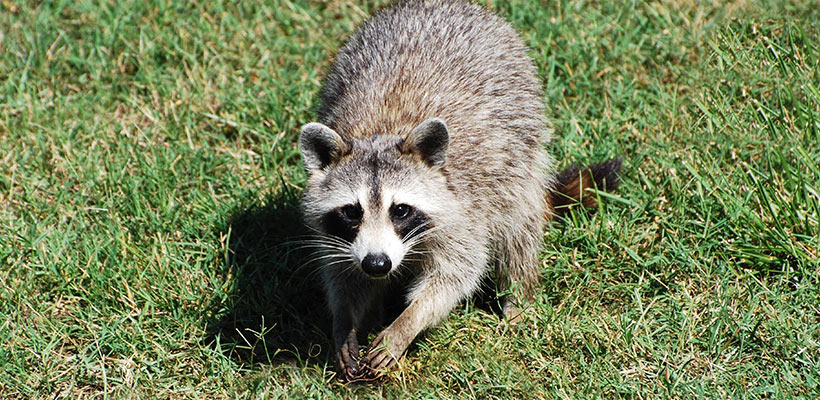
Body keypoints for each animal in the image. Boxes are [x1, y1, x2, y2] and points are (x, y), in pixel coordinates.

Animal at [298, 0, 620, 381]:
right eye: (351, 211)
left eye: (400, 210)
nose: (377, 264)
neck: (382, 130)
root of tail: (443, 4)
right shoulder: (338, 236)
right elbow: (345, 274)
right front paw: (346, 322)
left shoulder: (463, 211)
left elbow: (453, 277)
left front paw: (406, 324)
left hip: (522, 148)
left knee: (519, 229)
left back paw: (518, 294)